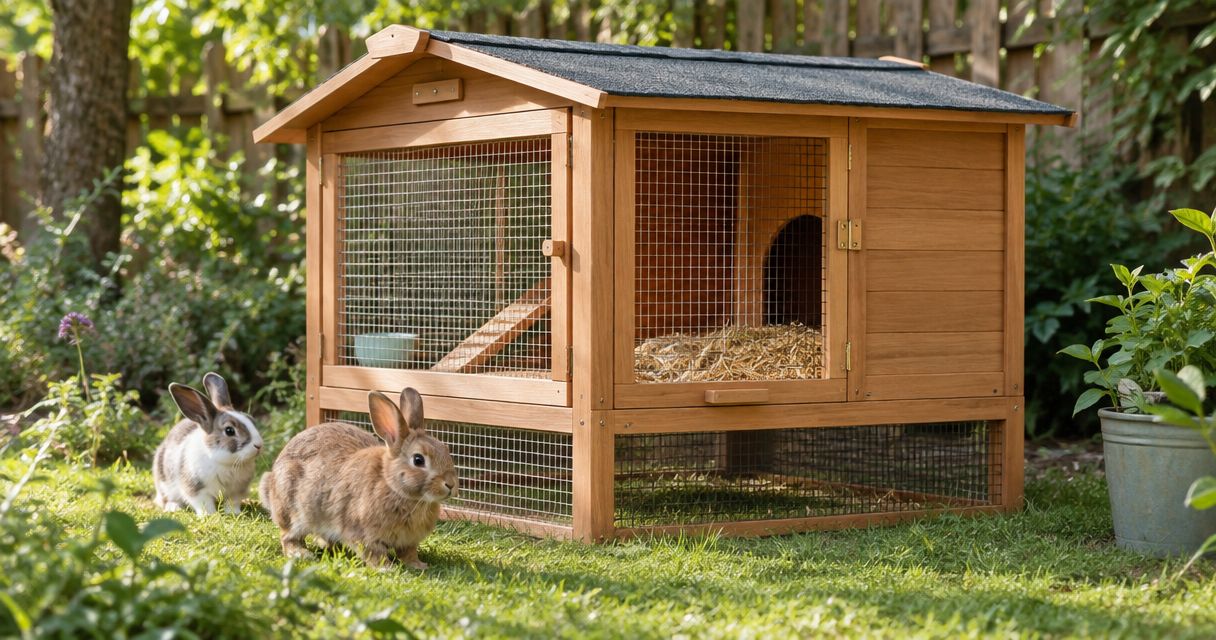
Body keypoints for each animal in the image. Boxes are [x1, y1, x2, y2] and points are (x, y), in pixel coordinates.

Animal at [153, 372, 264, 515]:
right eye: (229, 430)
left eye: (251, 420)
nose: (258, 445)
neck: (225, 463)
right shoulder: (196, 489)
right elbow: (204, 503)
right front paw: (209, 515)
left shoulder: (236, 491)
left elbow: (232, 502)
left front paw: (233, 513)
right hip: (165, 484)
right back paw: (174, 507)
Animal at [259, 387, 457, 570]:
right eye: (418, 460)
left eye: (446, 449)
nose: (451, 484)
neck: (392, 485)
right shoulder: (362, 533)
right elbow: (374, 553)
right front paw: (387, 568)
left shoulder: (408, 541)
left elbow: (408, 553)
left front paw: (419, 565)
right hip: (294, 510)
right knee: (287, 536)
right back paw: (301, 553)